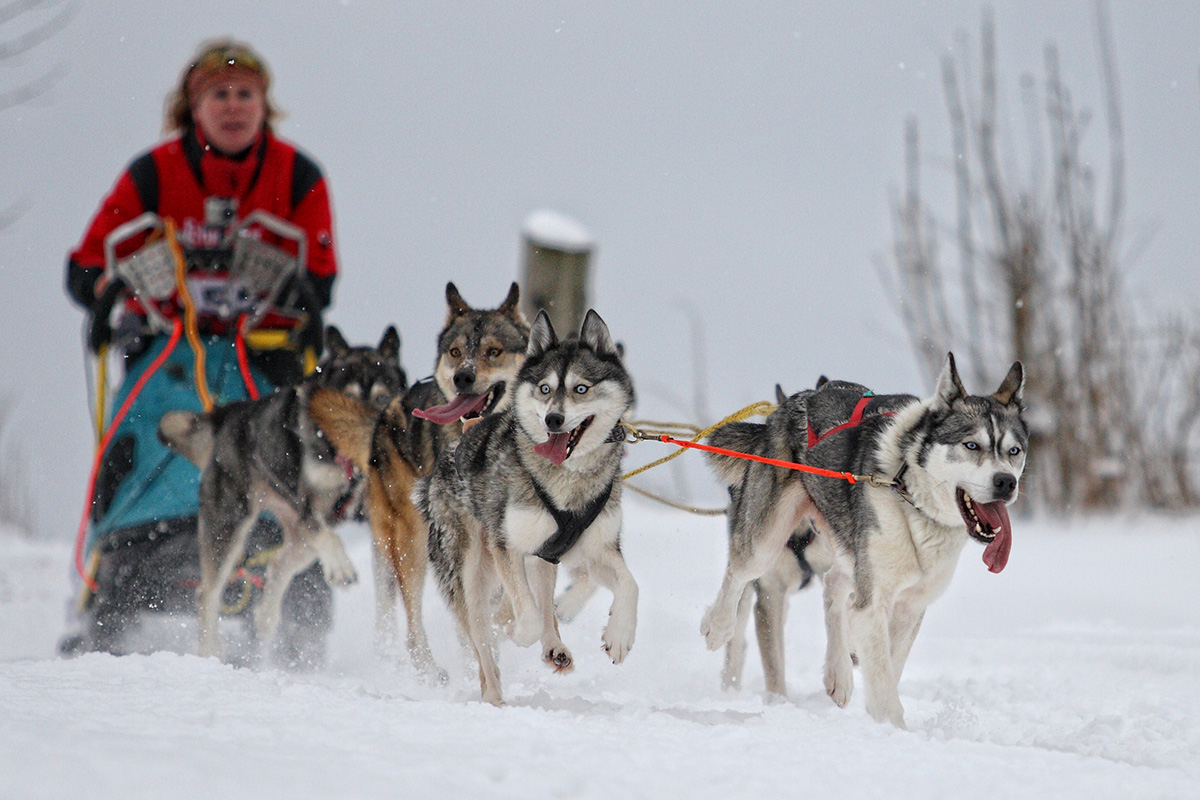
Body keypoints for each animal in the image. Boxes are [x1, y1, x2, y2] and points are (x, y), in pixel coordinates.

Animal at [159, 326, 405, 662]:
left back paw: (266, 615)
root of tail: (231, 415)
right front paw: (342, 567)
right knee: (206, 593)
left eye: (382, 398)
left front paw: (388, 650)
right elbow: (330, 537)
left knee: (277, 566)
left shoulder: (381, 522)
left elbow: (386, 602)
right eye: (344, 401)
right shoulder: (307, 506)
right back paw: (211, 652)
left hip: (299, 542)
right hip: (230, 526)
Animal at [412, 309, 638, 705]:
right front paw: (516, 631)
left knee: (543, 603)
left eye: (581, 389)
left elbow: (629, 585)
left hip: (542, 557)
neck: (568, 479)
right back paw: (494, 696)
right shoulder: (507, 546)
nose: (553, 420)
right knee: (483, 643)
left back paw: (554, 648)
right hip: (470, 570)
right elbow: (525, 618)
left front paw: (620, 635)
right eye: (545, 389)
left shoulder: (598, 549)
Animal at [700, 352, 1027, 729]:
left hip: (845, 548)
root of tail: (796, 399)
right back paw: (717, 627)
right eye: (972, 445)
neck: (909, 493)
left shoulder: (910, 606)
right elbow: (883, 682)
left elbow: (889, 668)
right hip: (766, 540)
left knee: (833, 587)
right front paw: (893, 729)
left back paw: (838, 674)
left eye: (1014, 451)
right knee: (739, 571)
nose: (1005, 482)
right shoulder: (873, 602)